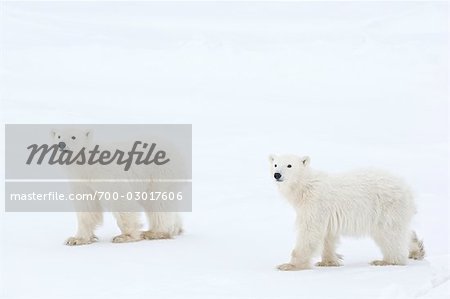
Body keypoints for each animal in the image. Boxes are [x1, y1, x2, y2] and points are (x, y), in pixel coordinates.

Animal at [49, 129, 183, 246]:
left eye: (73, 137)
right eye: (59, 136)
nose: (61, 144)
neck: (88, 166)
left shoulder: (107, 174)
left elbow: (120, 198)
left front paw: (125, 236)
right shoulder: (81, 182)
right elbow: (87, 206)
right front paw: (76, 239)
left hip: (159, 173)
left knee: (157, 201)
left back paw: (155, 232)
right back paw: (176, 229)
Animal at [268, 155, 424, 272]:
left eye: (289, 165)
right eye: (275, 164)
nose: (277, 174)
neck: (305, 187)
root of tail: (407, 190)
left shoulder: (316, 204)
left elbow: (310, 232)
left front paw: (289, 265)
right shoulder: (326, 214)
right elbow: (328, 236)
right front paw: (328, 262)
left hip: (386, 207)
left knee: (390, 234)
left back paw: (386, 261)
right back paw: (417, 249)